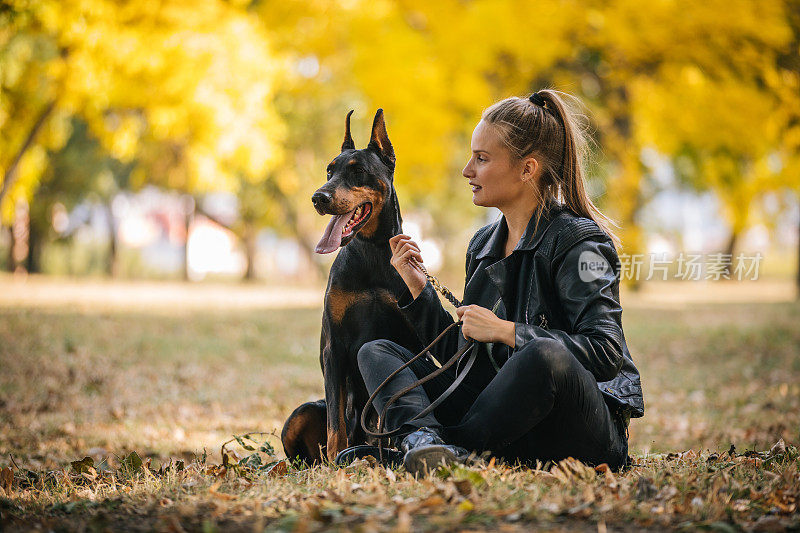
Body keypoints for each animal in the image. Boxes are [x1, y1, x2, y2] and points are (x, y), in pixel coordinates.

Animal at [284, 107, 428, 462]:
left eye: (358, 170)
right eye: (329, 170)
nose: (318, 197)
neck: (372, 252)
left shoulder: (413, 342)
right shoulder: (333, 347)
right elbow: (337, 422)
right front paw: (338, 461)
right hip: (302, 413)